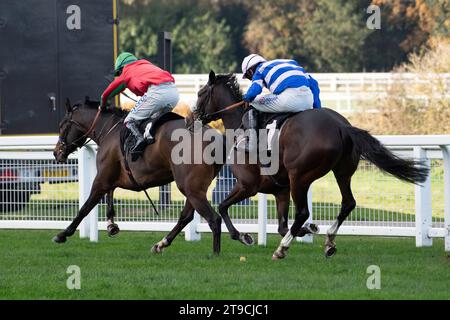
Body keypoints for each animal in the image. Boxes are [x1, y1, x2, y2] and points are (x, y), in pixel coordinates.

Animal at [52, 97, 234, 255]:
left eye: (62, 125)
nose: (56, 152)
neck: (109, 129)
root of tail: (216, 138)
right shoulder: (112, 177)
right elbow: (109, 195)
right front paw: (111, 225)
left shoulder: (102, 179)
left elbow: (85, 207)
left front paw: (63, 234)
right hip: (194, 188)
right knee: (186, 217)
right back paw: (161, 244)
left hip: (190, 187)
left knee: (213, 219)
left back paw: (215, 254)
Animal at [193, 71, 428, 258]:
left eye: (200, 93)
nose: (193, 115)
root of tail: (341, 126)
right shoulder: (280, 191)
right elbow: (281, 226)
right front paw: (309, 229)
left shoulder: (247, 185)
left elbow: (223, 206)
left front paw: (242, 236)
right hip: (341, 172)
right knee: (348, 203)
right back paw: (329, 241)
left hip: (300, 176)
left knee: (303, 212)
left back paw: (282, 249)